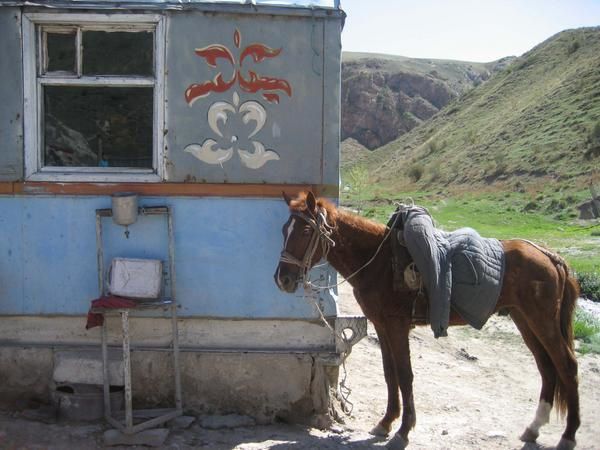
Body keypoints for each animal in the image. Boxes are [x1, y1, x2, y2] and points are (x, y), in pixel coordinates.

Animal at [274, 191, 580, 450]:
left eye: (305, 231)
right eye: (284, 229)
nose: (283, 279)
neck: (378, 261)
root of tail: (551, 257)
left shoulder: (397, 326)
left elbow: (405, 375)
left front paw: (403, 431)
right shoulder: (382, 326)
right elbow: (390, 374)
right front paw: (386, 423)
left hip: (542, 321)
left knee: (566, 366)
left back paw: (568, 435)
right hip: (524, 320)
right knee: (547, 368)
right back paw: (533, 429)